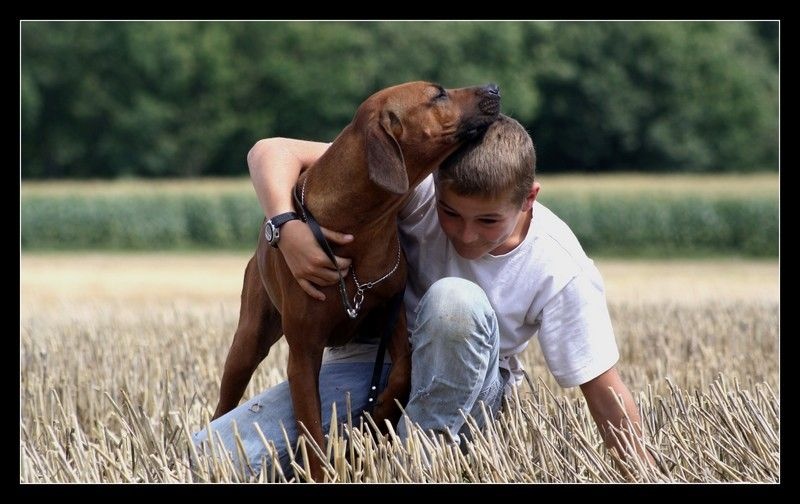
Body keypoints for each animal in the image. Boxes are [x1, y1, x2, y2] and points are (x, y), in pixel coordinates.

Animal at [212, 79, 500, 480]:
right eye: (438, 94)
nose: (494, 87)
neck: (362, 224)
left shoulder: (392, 314)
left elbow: (403, 371)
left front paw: (377, 417)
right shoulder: (304, 354)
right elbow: (311, 431)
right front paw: (323, 472)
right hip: (249, 336)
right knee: (226, 398)